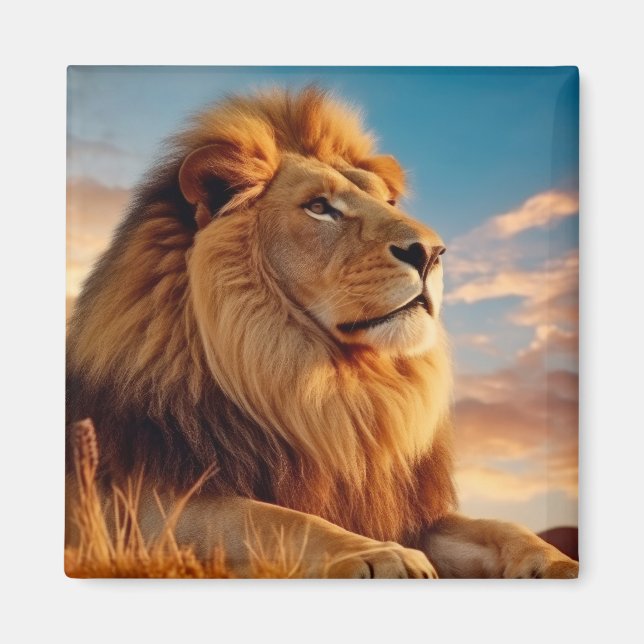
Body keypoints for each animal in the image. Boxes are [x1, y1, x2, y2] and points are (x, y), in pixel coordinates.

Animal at [66, 87, 578, 578]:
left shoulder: (401, 508)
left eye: (387, 202)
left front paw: (556, 561)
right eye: (319, 208)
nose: (432, 252)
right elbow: (272, 518)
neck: (333, 393)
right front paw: (380, 555)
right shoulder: (130, 510)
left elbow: (499, 528)